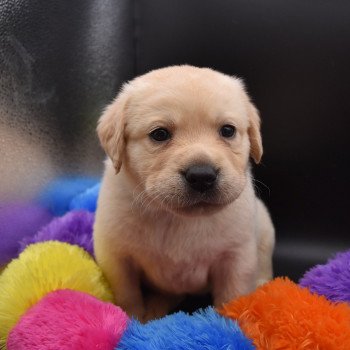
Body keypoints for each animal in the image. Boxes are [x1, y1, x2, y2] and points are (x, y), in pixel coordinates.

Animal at [94, 64, 274, 322]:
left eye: (228, 130)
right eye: (159, 134)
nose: (202, 176)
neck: (178, 219)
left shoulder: (236, 258)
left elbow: (231, 296)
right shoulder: (115, 256)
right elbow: (127, 294)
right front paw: (133, 320)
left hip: (266, 228)